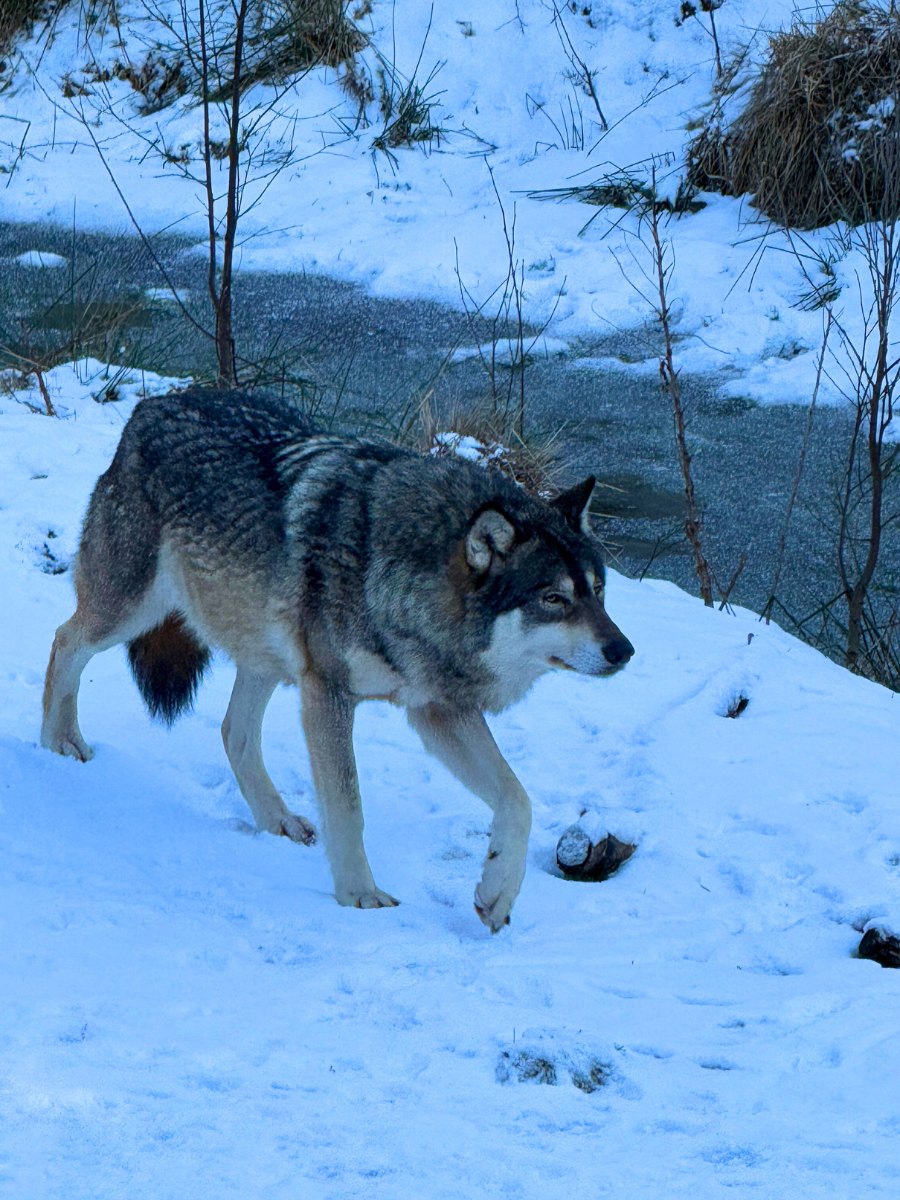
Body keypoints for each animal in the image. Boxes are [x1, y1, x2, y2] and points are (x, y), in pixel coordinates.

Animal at [41, 388, 633, 931]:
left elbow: (518, 800)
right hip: (133, 611)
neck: (401, 577)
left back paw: (277, 820)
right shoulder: (328, 693)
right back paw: (57, 743)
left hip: (266, 654)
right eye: (553, 598)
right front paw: (360, 897)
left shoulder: (437, 710)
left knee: (233, 732)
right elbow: (349, 807)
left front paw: (496, 893)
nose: (624, 651)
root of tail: (152, 405)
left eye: (599, 591)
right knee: (64, 640)